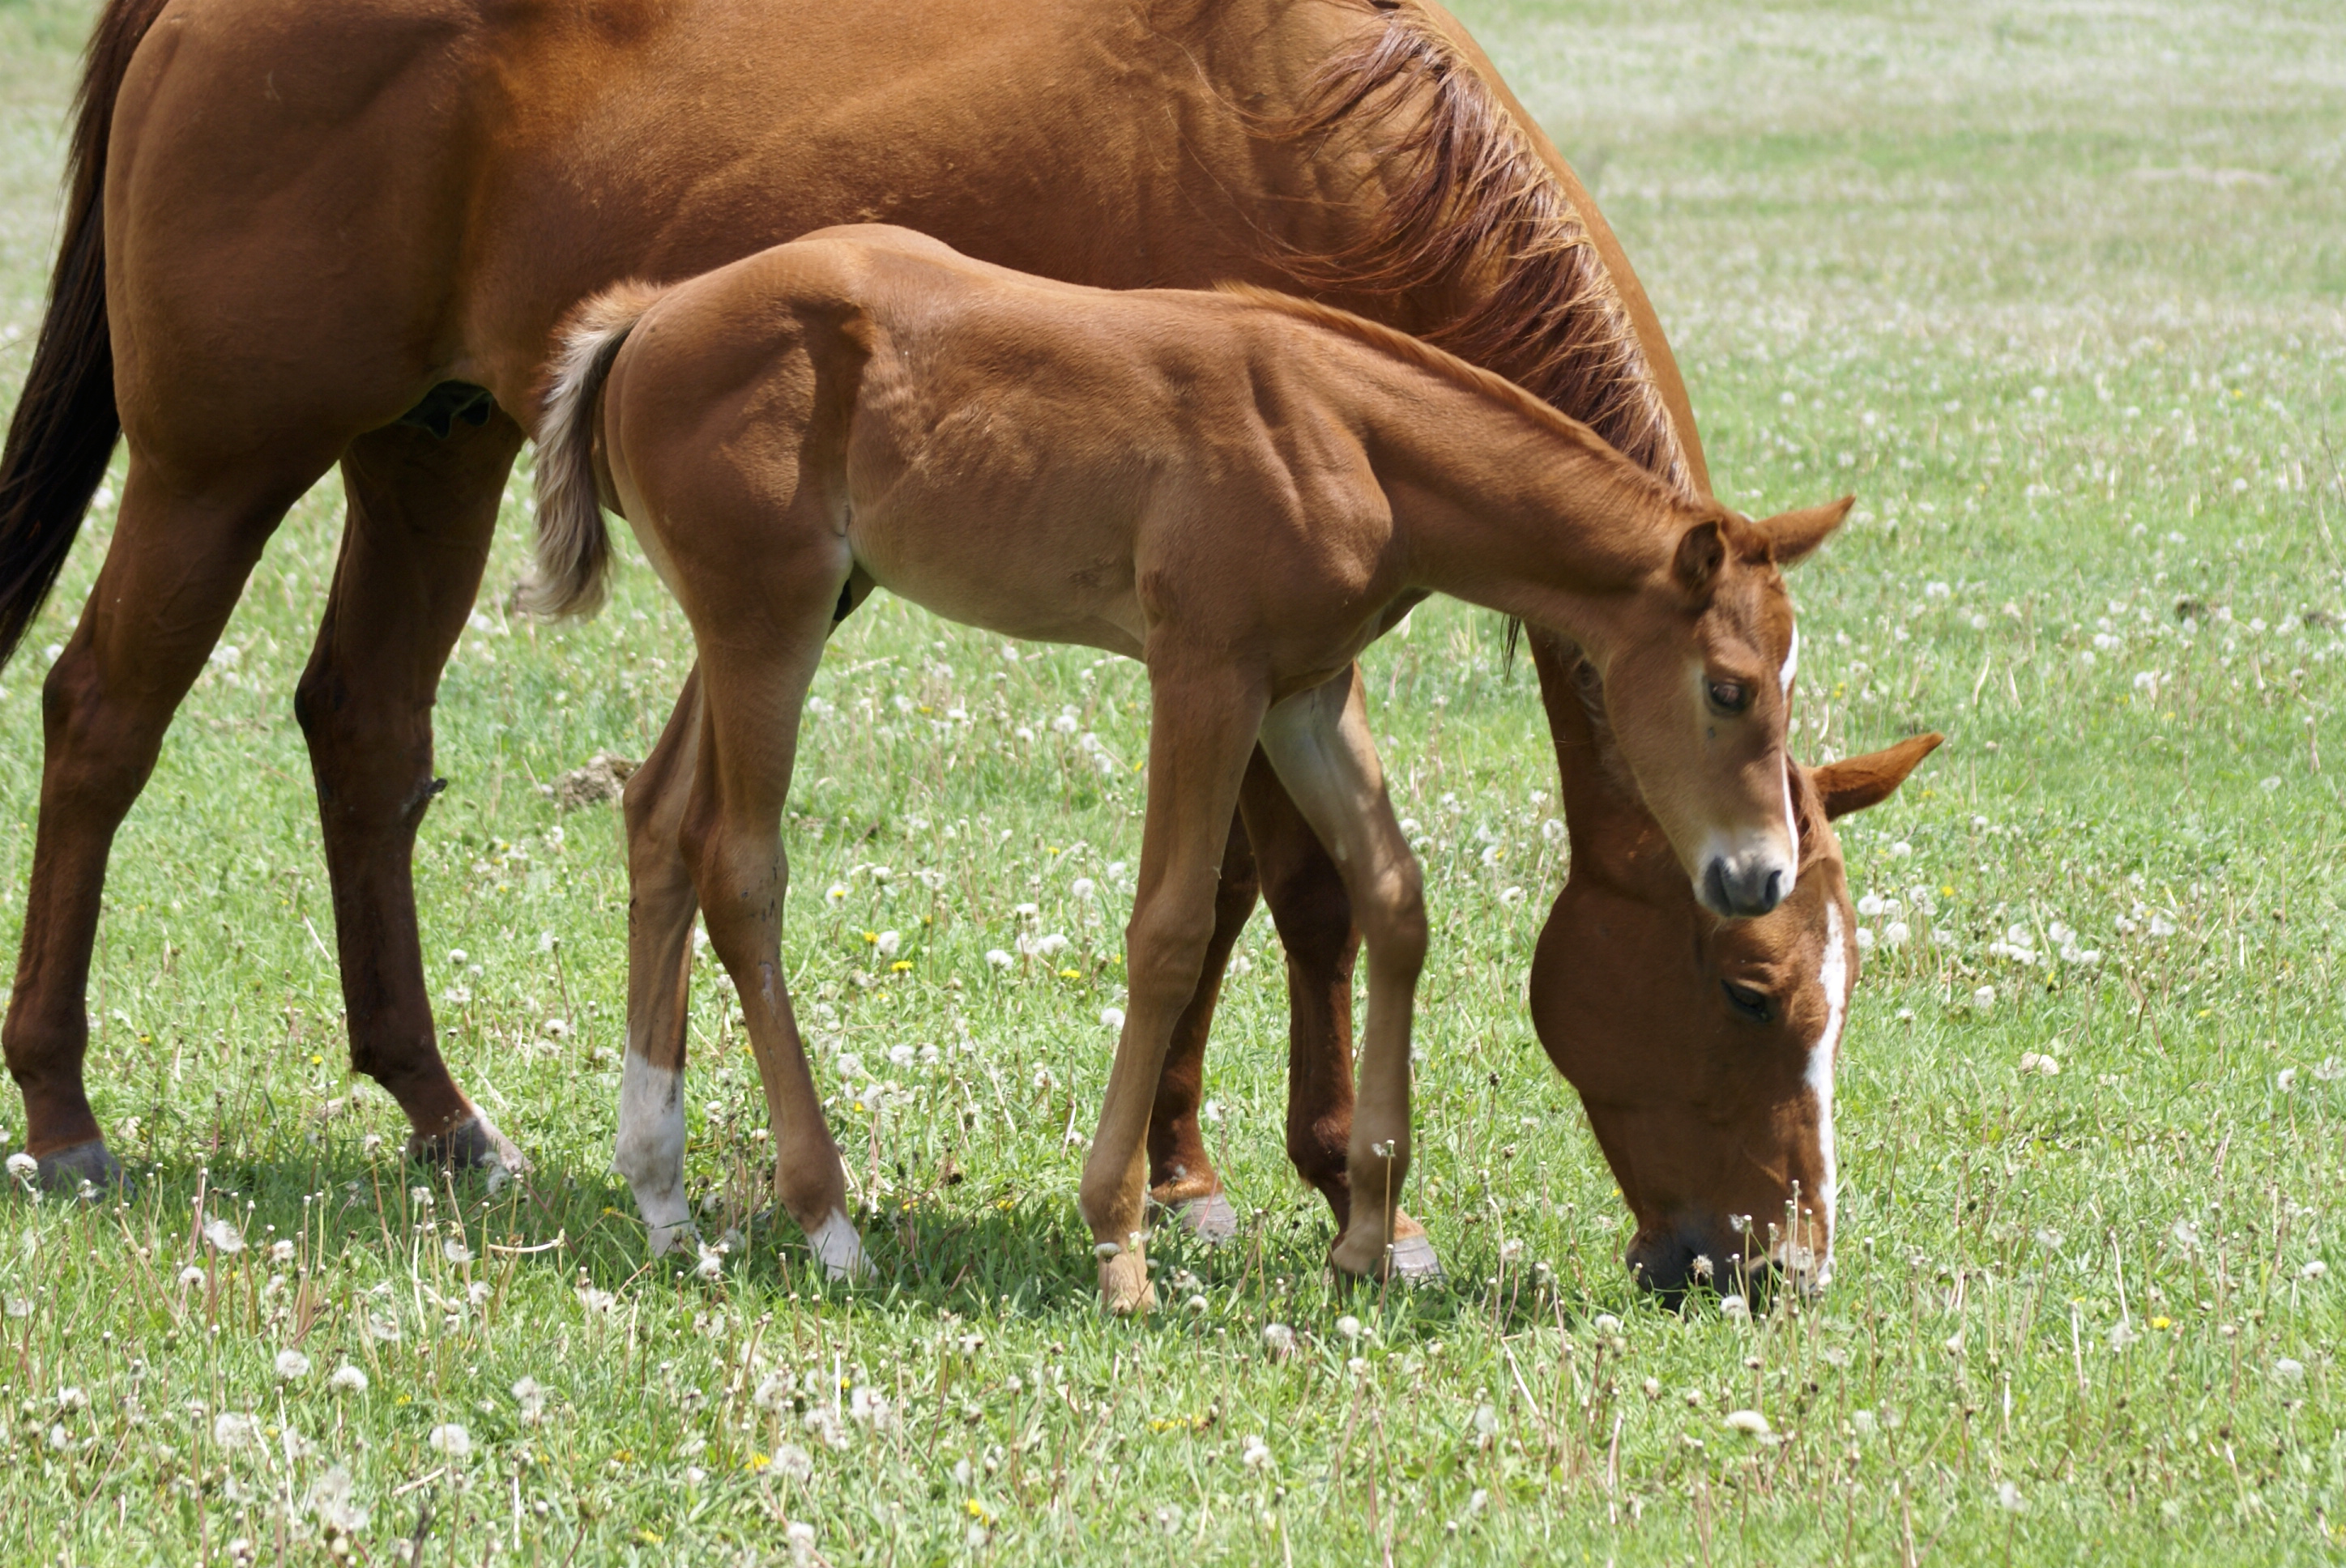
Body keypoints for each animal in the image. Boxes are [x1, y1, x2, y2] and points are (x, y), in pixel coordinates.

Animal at [523, 229, 1839, 1312]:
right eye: (1729, 687)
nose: (1758, 873)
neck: (1350, 437)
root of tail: (649, 315)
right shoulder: (1204, 672)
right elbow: (1169, 927)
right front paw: (1119, 1242)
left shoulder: (1308, 690)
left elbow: (1394, 900)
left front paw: (1367, 1234)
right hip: (770, 618)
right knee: (742, 870)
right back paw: (828, 1221)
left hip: (782, 612)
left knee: (658, 818)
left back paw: (660, 1195)